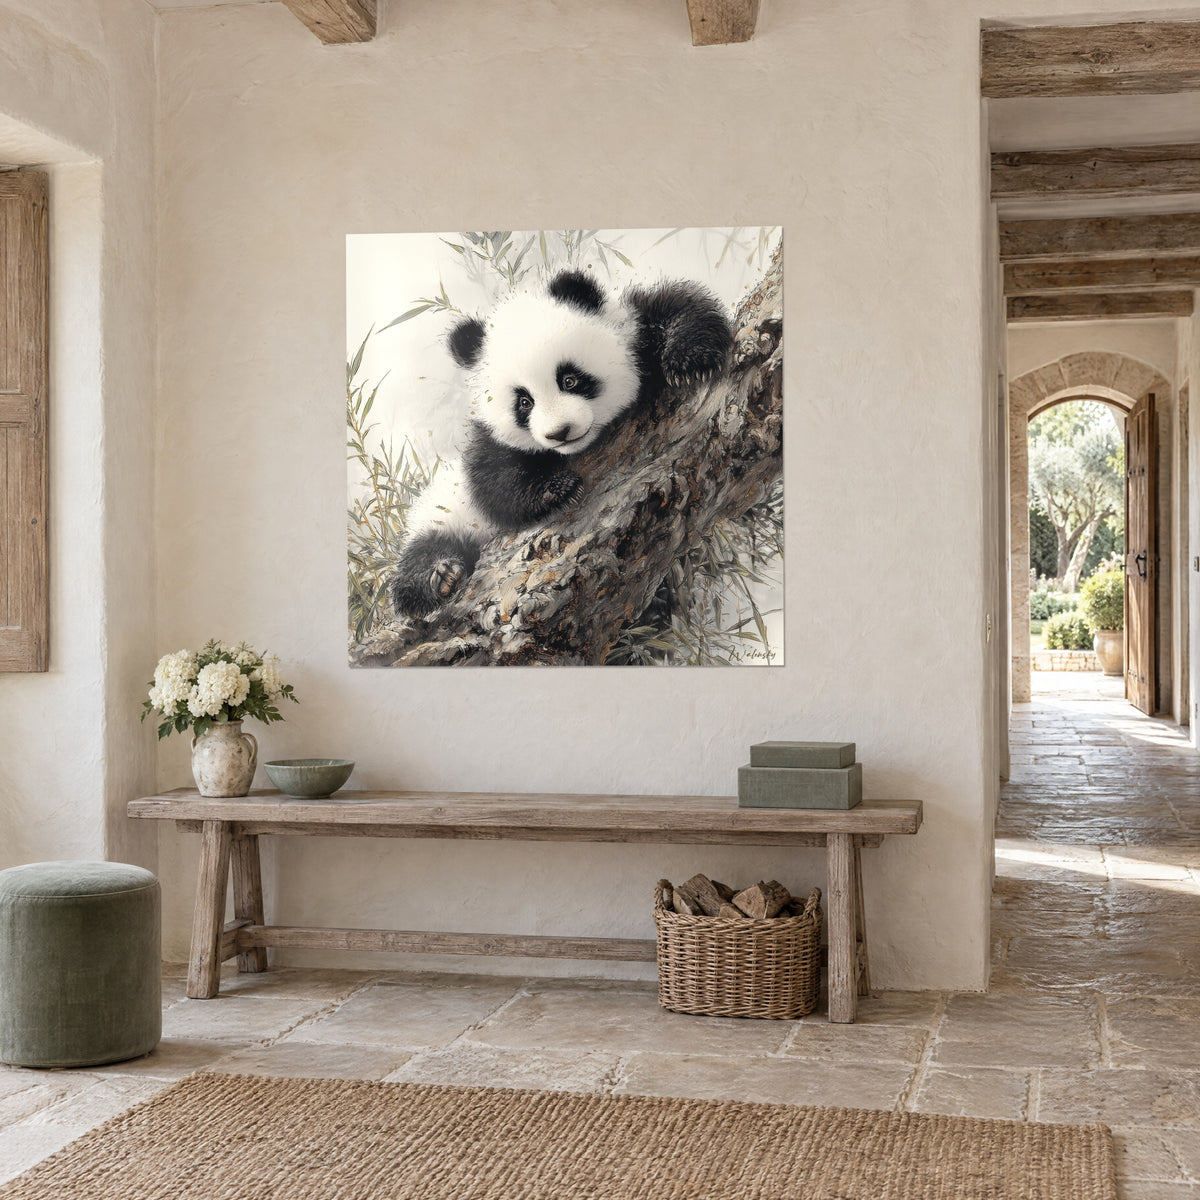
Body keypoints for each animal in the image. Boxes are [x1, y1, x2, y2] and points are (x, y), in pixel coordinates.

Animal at [389, 268, 734, 619]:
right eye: (524, 402)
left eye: (569, 379)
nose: (560, 432)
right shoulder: (488, 442)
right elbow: (492, 481)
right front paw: (557, 488)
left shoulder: (633, 326)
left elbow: (680, 307)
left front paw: (691, 361)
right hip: (445, 517)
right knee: (422, 555)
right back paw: (441, 576)